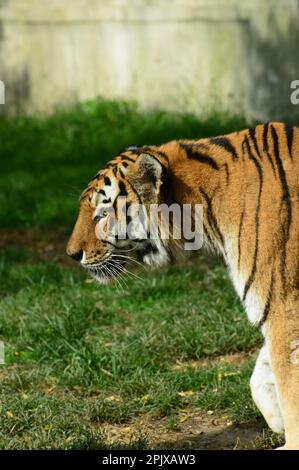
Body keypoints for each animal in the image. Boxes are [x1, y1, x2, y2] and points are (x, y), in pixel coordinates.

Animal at [67, 121, 299, 448]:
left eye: (101, 214)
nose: (71, 254)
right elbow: (263, 372)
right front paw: (274, 414)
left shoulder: (283, 304)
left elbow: (289, 382)